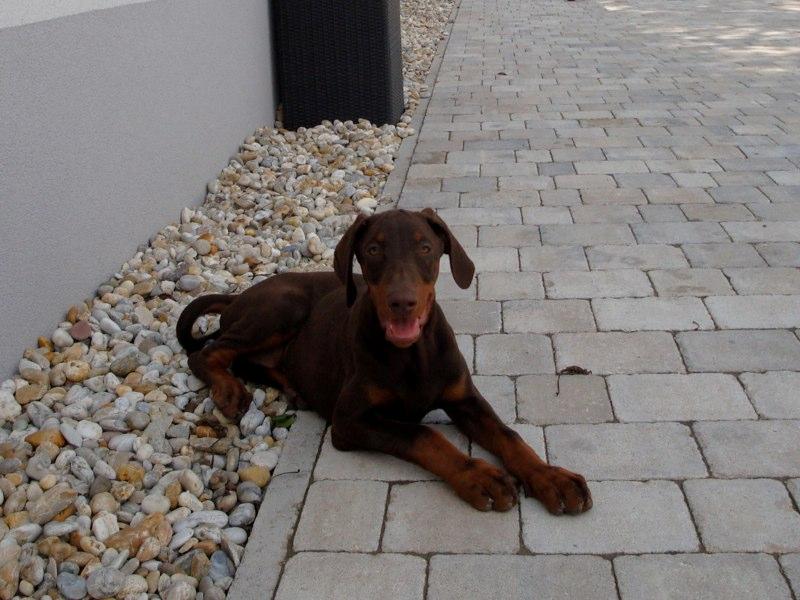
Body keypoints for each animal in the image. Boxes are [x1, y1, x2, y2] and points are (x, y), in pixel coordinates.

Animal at [177, 208, 591, 514]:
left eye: (425, 248)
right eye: (374, 250)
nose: (402, 302)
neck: (412, 354)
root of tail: (239, 296)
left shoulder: (464, 398)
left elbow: (509, 435)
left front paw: (550, 477)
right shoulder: (350, 420)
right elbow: (424, 434)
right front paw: (478, 476)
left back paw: (291, 388)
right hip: (283, 307)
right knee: (206, 352)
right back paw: (229, 391)